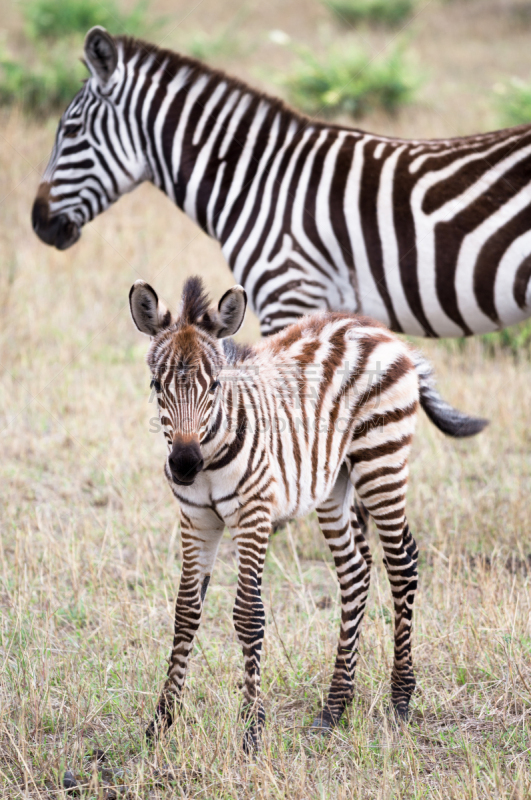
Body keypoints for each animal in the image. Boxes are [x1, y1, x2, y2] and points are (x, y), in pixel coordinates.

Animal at [129, 276, 486, 752]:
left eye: (216, 386)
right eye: (156, 385)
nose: (184, 466)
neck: (211, 450)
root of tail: (380, 331)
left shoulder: (254, 515)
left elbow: (248, 615)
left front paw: (252, 730)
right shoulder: (196, 519)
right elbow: (185, 612)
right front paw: (161, 723)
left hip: (382, 461)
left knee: (402, 561)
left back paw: (401, 699)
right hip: (334, 483)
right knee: (355, 571)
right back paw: (334, 708)